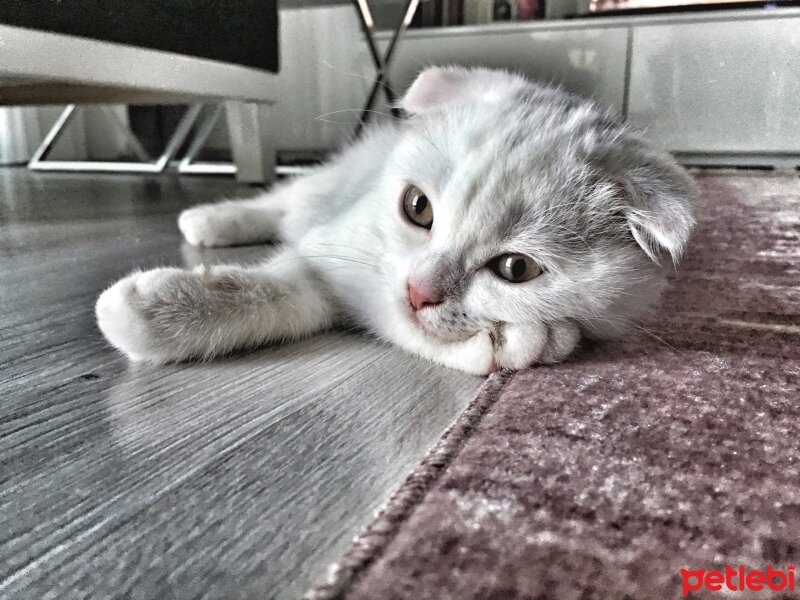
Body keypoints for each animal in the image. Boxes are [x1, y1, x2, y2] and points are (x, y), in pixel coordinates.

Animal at [95, 67, 692, 376]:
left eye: (516, 269)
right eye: (417, 208)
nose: (419, 291)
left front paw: (520, 340)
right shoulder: (337, 253)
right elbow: (274, 290)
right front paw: (152, 312)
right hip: (327, 187)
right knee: (284, 201)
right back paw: (210, 220)